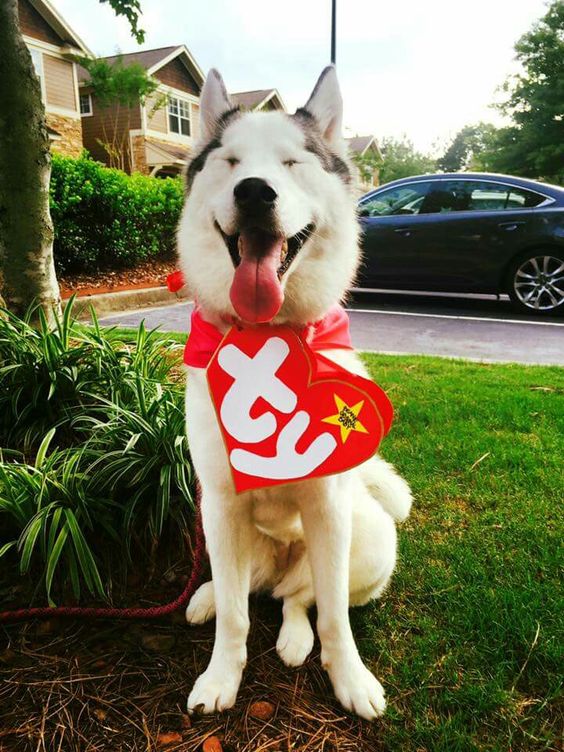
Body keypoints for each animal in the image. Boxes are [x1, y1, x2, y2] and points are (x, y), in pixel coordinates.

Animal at [178, 67, 412, 720]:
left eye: (291, 163)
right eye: (231, 162)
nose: (255, 192)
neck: (268, 339)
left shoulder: (329, 507)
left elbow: (334, 617)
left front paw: (349, 677)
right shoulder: (220, 501)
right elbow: (235, 621)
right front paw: (221, 676)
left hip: (369, 537)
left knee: (300, 599)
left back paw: (294, 636)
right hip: (220, 531)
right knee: (248, 591)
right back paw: (208, 595)